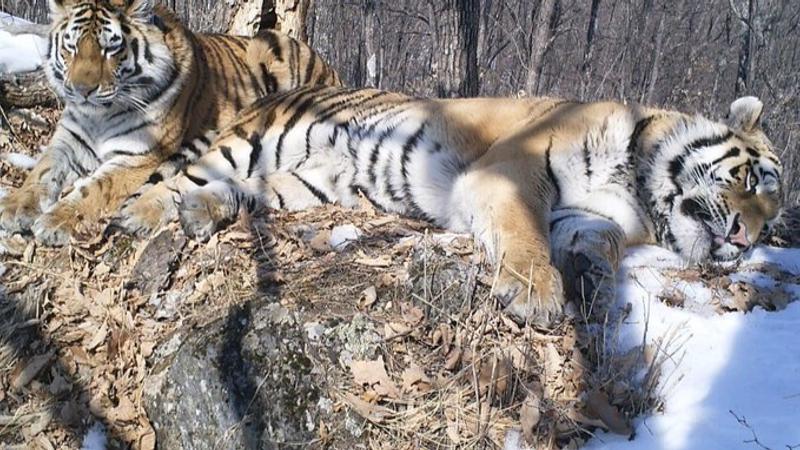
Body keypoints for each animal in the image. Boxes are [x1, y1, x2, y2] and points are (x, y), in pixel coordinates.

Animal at [0, 0, 340, 244]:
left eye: (111, 48)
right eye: (71, 47)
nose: (82, 90)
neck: (100, 115)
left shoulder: (138, 157)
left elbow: (94, 190)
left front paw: (55, 220)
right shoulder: (68, 141)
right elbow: (41, 173)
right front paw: (14, 207)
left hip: (270, 46)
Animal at [109, 85, 784, 324]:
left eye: (774, 220)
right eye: (754, 182)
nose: (747, 239)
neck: (639, 186)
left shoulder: (589, 215)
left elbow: (599, 243)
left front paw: (592, 280)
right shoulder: (511, 172)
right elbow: (524, 234)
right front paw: (536, 294)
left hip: (307, 184)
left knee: (240, 194)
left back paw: (203, 212)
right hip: (253, 143)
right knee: (174, 179)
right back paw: (139, 215)